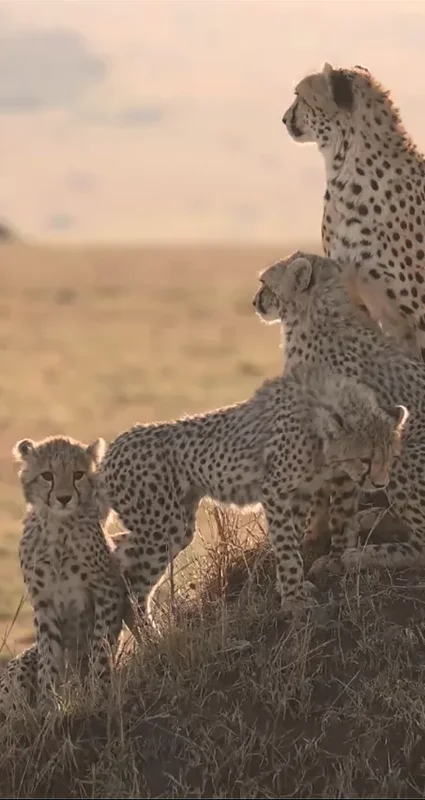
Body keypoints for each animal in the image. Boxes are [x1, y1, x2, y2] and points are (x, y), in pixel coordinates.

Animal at [6, 435, 127, 709]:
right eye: (47, 475)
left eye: (78, 474)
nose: (63, 498)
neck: (58, 528)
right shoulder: (43, 602)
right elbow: (49, 654)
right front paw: (50, 704)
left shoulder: (107, 591)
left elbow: (100, 646)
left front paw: (97, 691)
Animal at [99, 364, 406, 619]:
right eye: (365, 459)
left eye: (390, 458)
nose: (380, 484)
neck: (318, 430)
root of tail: (110, 452)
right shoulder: (276, 490)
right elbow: (286, 545)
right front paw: (295, 600)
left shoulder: (300, 493)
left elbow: (291, 538)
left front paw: (287, 588)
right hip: (162, 527)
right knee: (135, 588)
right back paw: (151, 636)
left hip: (172, 526)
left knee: (121, 557)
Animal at [253, 249, 425, 576]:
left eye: (265, 283)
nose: (255, 301)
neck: (314, 317)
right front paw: (309, 535)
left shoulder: (351, 434)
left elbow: (340, 505)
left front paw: (335, 556)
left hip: (403, 455)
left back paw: (366, 555)